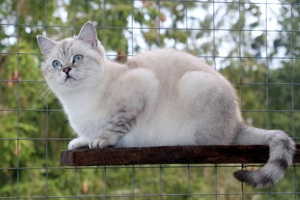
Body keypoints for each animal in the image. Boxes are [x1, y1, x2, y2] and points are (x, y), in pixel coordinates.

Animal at [37, 21, 296, 188]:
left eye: (78, 58)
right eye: (56, 63)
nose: (66, 70)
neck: (78, 102)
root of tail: (238, 123)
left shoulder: (141, 89)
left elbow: (115, 127)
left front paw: (101, 141)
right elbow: (85, 137)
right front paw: (80, 142)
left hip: (194, 86)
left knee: (215, 141)